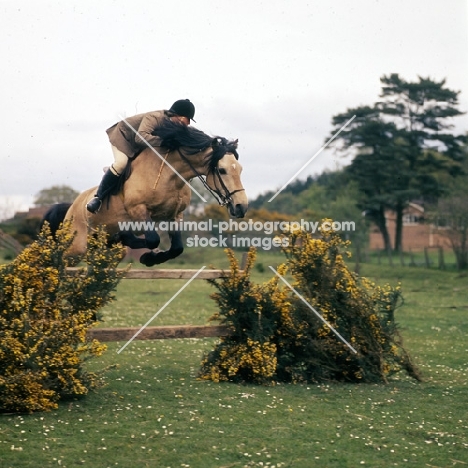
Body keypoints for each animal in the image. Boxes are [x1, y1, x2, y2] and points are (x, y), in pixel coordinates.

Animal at [43, 119, 249, 266]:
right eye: (222, 170)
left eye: (240, 169)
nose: (242, 207)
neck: (170, 175)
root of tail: (71, 207)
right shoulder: (139, 210)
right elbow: (153, 239)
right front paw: (148, 257)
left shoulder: (175, 215)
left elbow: (177, 248)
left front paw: (149, 258)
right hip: (75, 248)